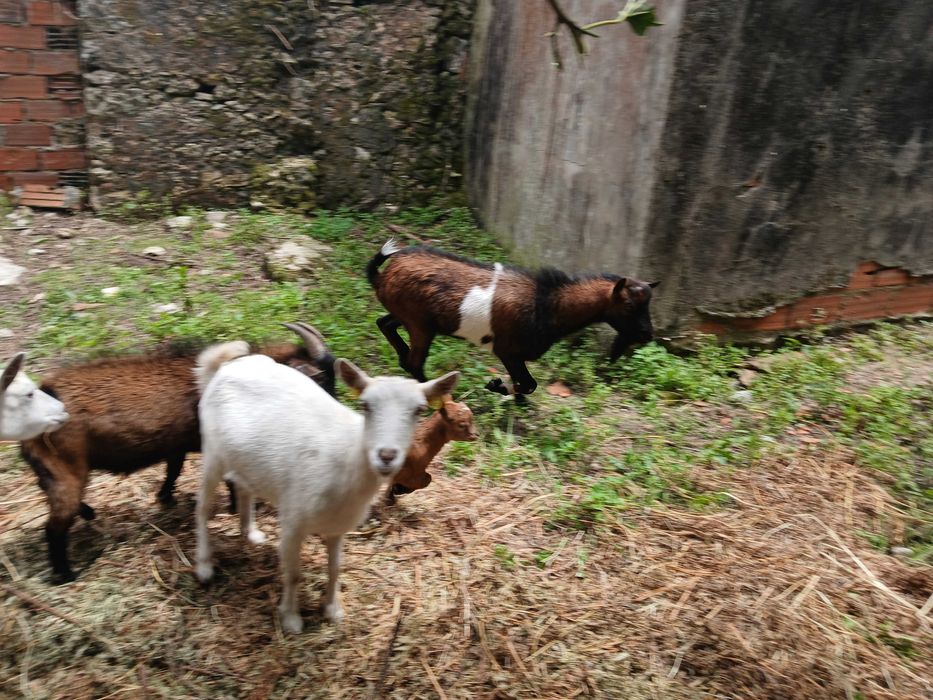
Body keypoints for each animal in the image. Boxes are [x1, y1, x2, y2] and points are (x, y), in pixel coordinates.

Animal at [20, 322, 335, 583]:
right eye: (319, 382)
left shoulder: (178, 446)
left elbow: (174, 469)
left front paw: (166, 498)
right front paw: (235, 509)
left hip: (52, 467)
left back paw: (87, 514)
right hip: (66, 471)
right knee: (54, 527)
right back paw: (65, 574)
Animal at [194, 346, 459, 633]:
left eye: (419, 410)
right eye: (365, 405)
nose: (386, 456)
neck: (345, 462)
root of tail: (227, 364)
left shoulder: (338, 526)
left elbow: (335, 568)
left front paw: (333, 610)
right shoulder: (293, 520)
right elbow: (294, 573)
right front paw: (291, 619)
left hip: (245, 459)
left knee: (243, 487)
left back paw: (250, 533)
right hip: (213, 451)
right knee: (203, 507)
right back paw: (204, 566)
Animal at [367, 240, 658, 396]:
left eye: (648, 304)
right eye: (629, 305)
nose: (647, 334)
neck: (547, 303)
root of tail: (382, 275)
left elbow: (527, 385)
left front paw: (504, 390)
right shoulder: (508, 351)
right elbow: (528, 384)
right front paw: (496, 385)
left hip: (411, 317)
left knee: (385, 323)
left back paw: (402, 356)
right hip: (420, 325)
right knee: (415, 362)